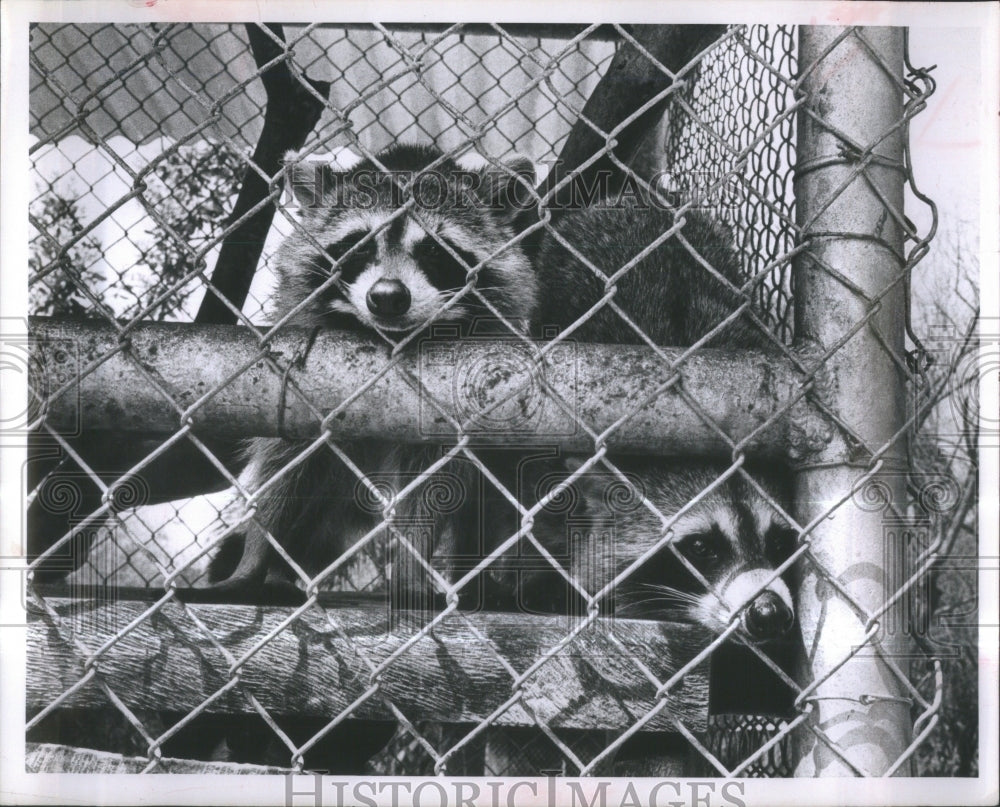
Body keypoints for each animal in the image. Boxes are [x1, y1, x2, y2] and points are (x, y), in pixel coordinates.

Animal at [209, 145, 540, 596]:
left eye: (433, 250)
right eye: (361, 245)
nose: (387, 297)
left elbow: (434, 485)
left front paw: (411, 568)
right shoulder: (300, 358)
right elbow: (285, 464)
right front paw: (258, 551)